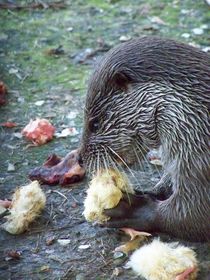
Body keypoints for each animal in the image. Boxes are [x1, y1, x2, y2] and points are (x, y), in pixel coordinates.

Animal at [79, 36, 210, 242]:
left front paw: (133, 209)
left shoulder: (200, 162)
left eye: (94, 124)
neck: (199, 117)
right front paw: (146, 192)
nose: (79, 158)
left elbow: (193, 214)